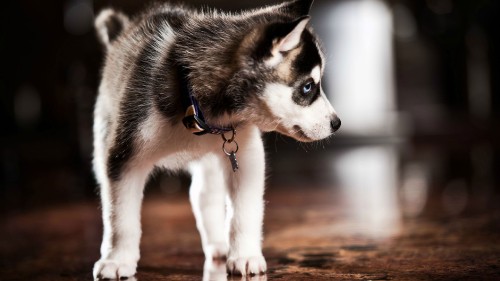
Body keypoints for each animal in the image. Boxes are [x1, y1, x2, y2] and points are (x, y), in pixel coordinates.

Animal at [92, 0, 340, 276]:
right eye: (307, 87)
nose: (337, 123)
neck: (195, 106)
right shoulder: (125, 156)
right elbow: (120, 217)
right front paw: (117, 260)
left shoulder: (246, 156)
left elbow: (245, 212)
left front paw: (245, 255)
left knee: (205, 197)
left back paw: (220, 245)